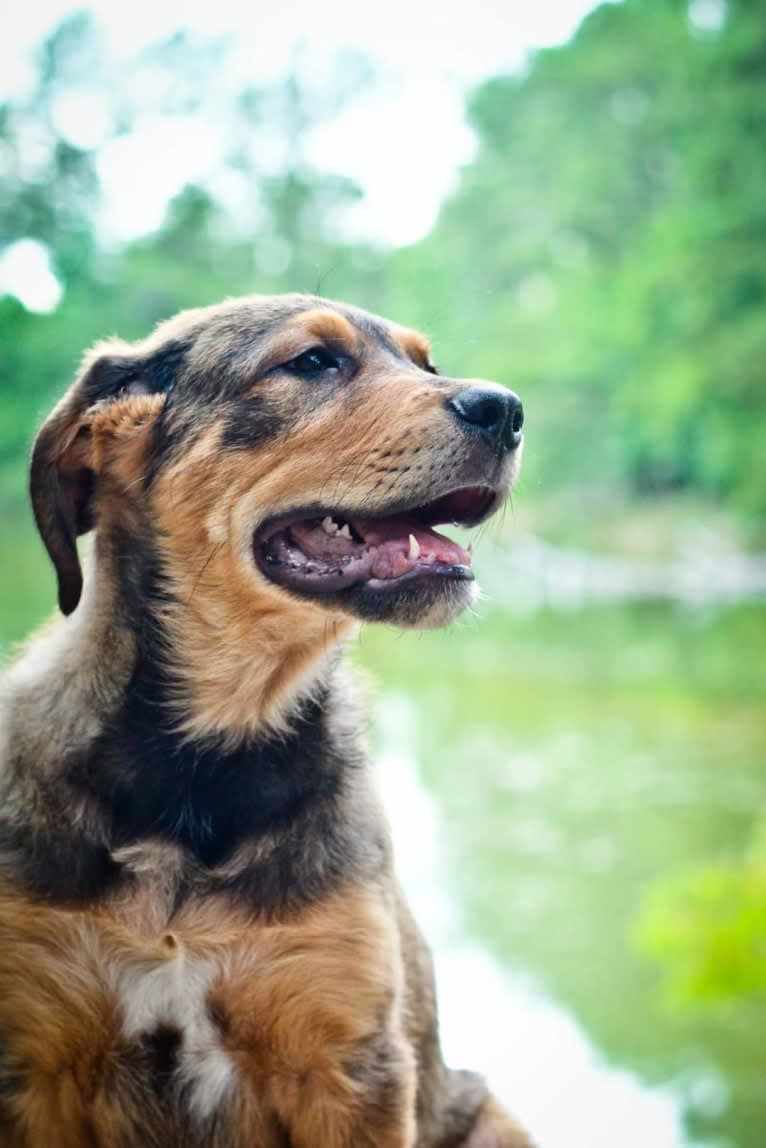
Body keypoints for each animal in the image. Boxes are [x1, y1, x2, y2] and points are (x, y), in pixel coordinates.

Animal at [0, 293, 528, 1148]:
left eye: (428, 364)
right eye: (313, 362)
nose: (508, 410)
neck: (204, 768)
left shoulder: (351, 1065)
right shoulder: (37, 1055)